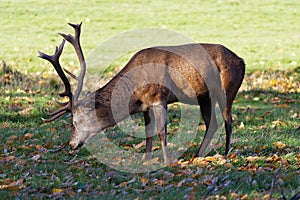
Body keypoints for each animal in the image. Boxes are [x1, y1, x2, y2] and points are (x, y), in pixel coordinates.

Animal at [38, 22, 245, 165]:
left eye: (75, 121)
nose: (71, 144)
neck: (134, 92)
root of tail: (242, 60)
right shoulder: (145, 106)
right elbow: (148, 132)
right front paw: (146, 158)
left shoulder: (159, 98)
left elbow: (162, 131)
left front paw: (167, 161)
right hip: (205, 96)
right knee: (212, 123)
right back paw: (197, 155)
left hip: (228, 88)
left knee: (228, 120)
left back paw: (226, 154)